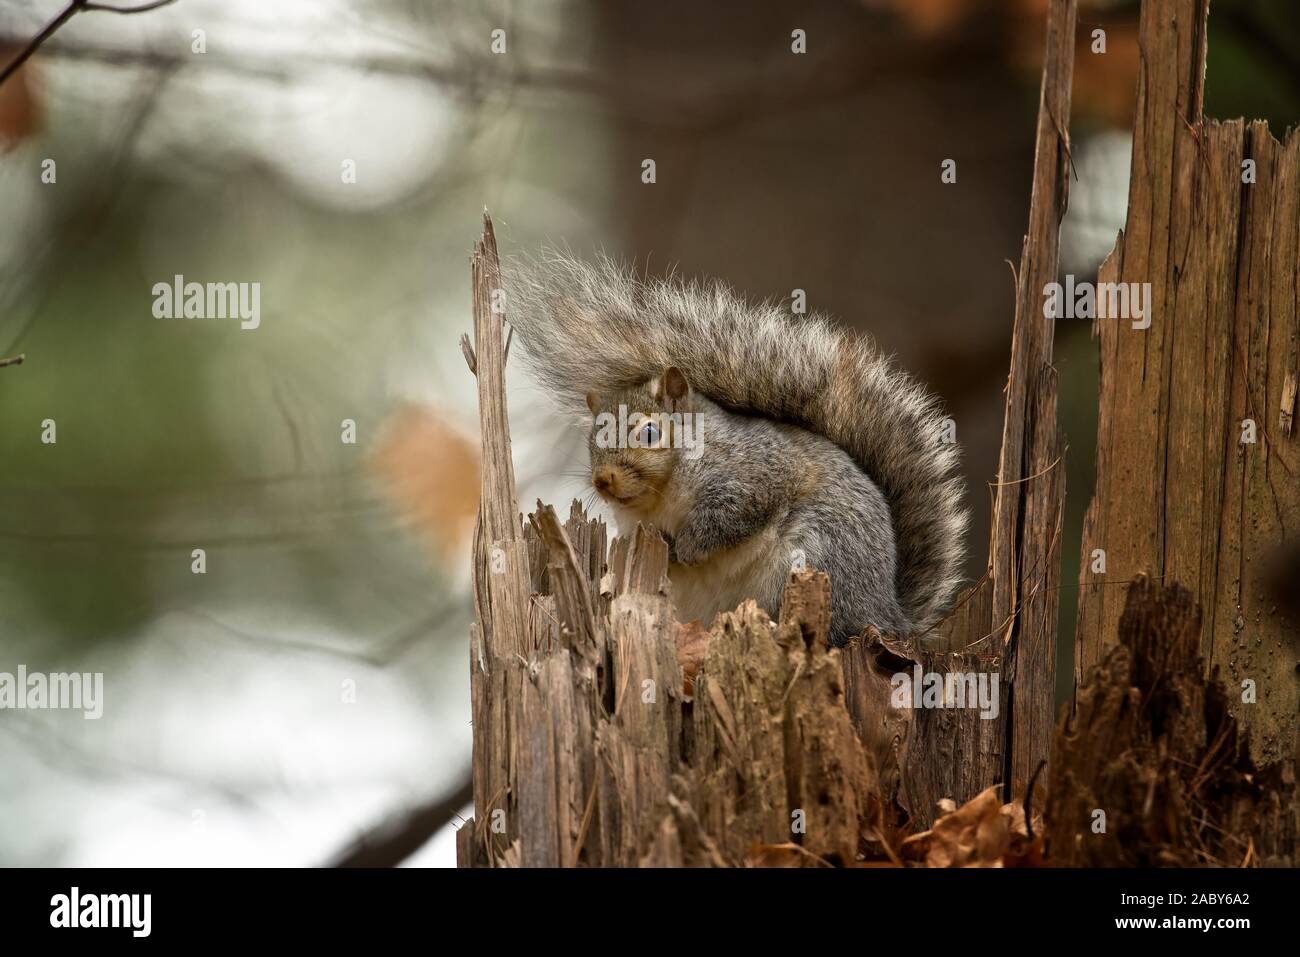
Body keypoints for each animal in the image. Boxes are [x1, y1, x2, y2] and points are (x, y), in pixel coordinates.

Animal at [505, 254, 968, 645]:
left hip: (818, 557)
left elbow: (729, 519)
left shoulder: (753, 476)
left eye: (651, 433)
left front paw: (688, 547)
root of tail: (889, 616)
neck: (661, 497)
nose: (603, 481)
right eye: (590, 441)